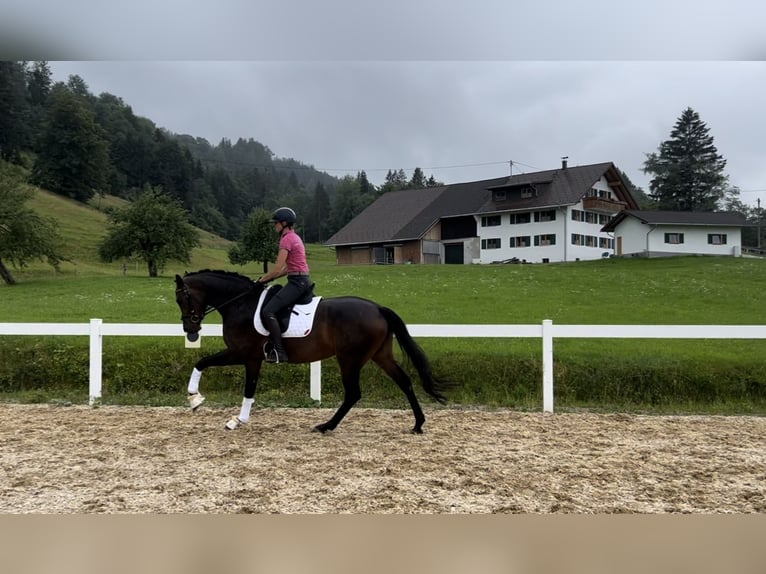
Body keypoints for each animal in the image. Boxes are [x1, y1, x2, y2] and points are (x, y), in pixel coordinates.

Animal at [174, 272, 452, 434]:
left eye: (182, 299)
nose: (190, 330)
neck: (241, 303)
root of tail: (377, 308)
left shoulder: (246, 356)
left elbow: (240, 384)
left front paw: (225, 414)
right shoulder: (244, 356)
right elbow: (202, 363)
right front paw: (196, 399)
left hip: (349, 359)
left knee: (353, 393)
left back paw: (326, 425)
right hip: (380, 355)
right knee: (404, 381)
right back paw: (418, 424)